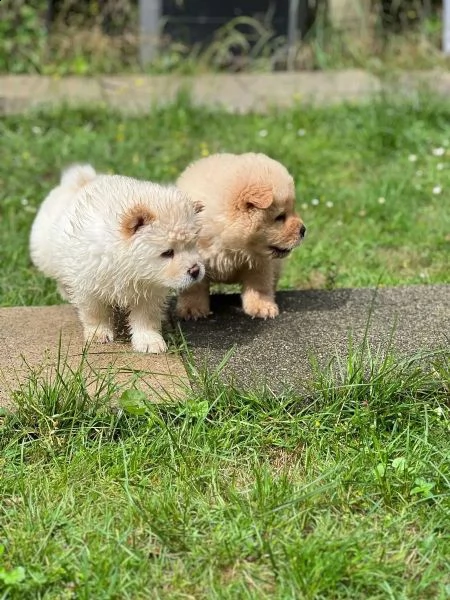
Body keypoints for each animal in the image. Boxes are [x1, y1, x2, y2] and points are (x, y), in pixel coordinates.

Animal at [31, 164, 206, 352]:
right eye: (167, 253)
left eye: (192, 245)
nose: (196, 270)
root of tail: (81, 180)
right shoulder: (88, 285)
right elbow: (95, 312)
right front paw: (98, 334)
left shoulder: (149, 290)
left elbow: (146, 318)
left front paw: (149, 341)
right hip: (49, 256)